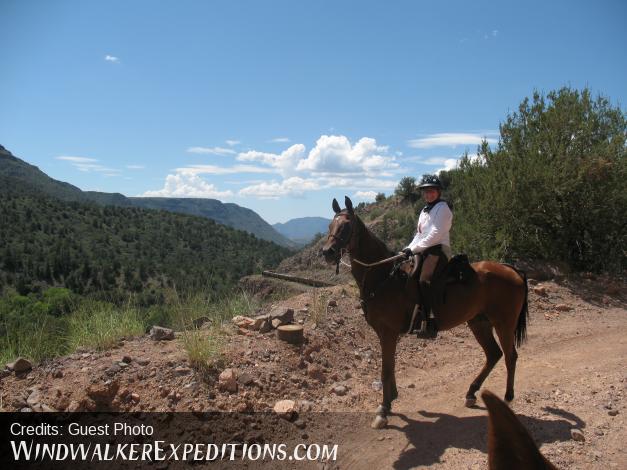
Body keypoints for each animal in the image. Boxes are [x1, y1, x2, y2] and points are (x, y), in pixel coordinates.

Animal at [318, 196, 528, 428]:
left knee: (510, 356)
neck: (384, 277)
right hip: (479, 322)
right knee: (494, 354)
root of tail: (510, 269)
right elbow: (390, 366)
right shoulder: (386, 334)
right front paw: (391, 399)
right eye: (330, 225)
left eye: (346, 226)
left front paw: (384, 409)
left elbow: (385, 370)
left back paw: (508, 397)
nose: (327, 252)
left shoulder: (388, 332)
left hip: (504, 323)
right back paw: (471, 393)